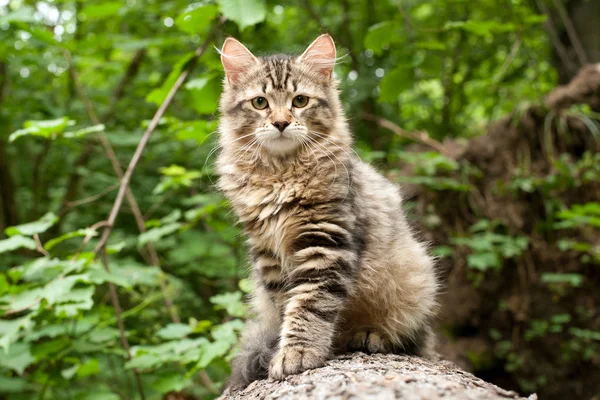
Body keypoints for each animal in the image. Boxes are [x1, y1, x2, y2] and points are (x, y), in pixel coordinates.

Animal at [216, 32, 436, 390]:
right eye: (260, 103)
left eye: (300, 101)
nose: (280, 123)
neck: (281, 173)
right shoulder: (269, 255)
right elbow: (287, 308)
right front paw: (286, 348)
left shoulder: (326, 240)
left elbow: (309, 306)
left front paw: (298, 353)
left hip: (415, 281)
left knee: (414, 339)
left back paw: (371, 335)